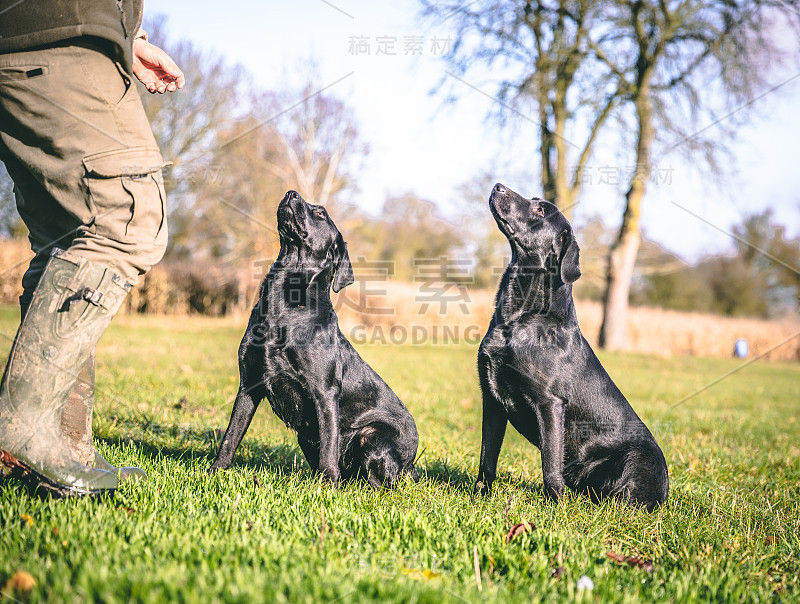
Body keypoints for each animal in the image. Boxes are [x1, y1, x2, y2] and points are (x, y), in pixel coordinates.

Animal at [211, 191, 418, 488]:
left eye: (320, 213)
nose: (291, 193)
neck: (284, 307)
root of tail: (411, 465)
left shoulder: (325, 392)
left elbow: (328, 449)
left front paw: (327, 487)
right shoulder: (249, 384)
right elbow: (231, 436)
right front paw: (214, 471)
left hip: (370, 436)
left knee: (381, 485)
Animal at [476, 183, 668, 510]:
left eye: (540, 209)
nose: (498, 186)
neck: (518, 319)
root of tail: (666, 494)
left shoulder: (549, 403)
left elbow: (550, 463)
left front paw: (555, 507)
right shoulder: (491, 399)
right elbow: (487, 458)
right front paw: (479, 496)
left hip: (633, 458)